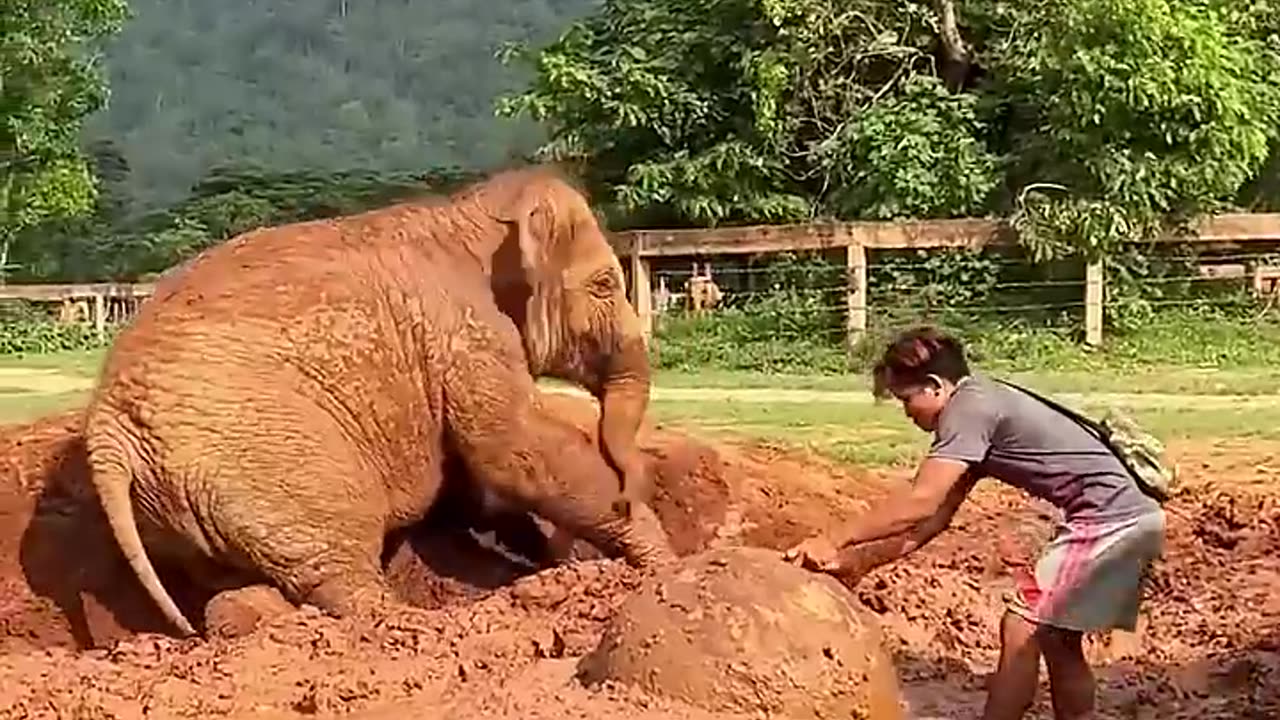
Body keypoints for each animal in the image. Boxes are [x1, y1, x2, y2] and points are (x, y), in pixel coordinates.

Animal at [83, 163, 675, 632]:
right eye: (604, 284)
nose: (632, 482)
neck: (468, 210)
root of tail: (109, 435)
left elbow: (474, 482)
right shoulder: (464, 332)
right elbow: (511, 452)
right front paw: (668, 566)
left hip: (180, 506)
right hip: (271, 464)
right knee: (344, 574)